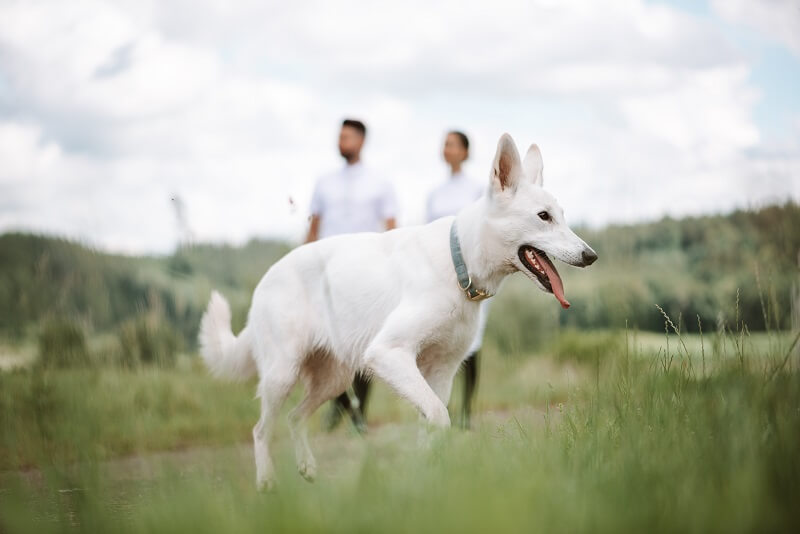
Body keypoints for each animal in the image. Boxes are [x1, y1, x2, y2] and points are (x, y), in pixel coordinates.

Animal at [200, 133, 600, 490]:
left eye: (562, 217)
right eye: (544, 217)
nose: (591, 256)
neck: (459, 263)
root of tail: (265, 280)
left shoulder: (441, 372)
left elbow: (430, 424)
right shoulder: (389, 354)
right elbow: (439, 417)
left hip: (334, 380)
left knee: (295, 418)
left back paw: (307, 467)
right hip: (283, 374)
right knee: (261, 429)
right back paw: (266, 481)